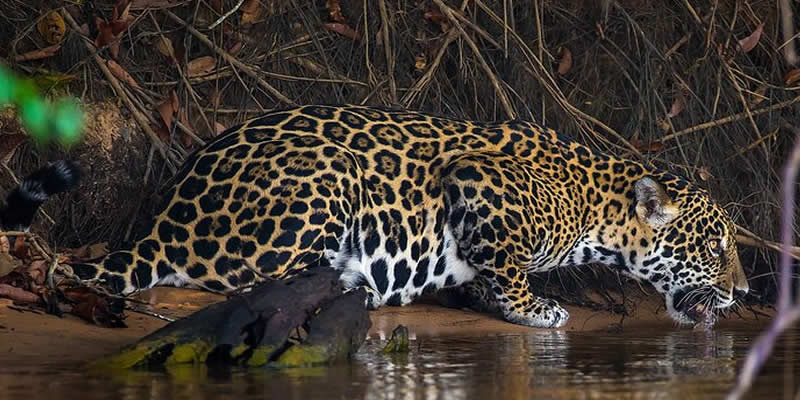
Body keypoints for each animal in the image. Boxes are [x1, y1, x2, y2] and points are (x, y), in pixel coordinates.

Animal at [64, 105, 749, 328]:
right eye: (715, 246)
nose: (743, 292)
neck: (591, 207)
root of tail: (166, 214)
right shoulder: (478, 180)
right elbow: (509, 265)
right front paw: (535, 308)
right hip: (330, 174)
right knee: (238, 284)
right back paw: (351, 286)